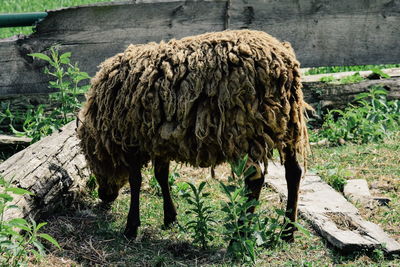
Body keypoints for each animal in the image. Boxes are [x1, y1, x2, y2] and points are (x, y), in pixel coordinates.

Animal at [77, 29, 310, 241]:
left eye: (92, 162)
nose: (104, 196)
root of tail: (283, 64)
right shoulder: (158, 140)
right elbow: (161, 176)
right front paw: (170, 217)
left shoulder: (132, 141)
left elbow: (136, 181)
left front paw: (131, 227)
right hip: (287, 125)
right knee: (294, 172)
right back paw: (288, 232)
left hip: (241, 133)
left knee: (255, 180)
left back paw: (240, 236)